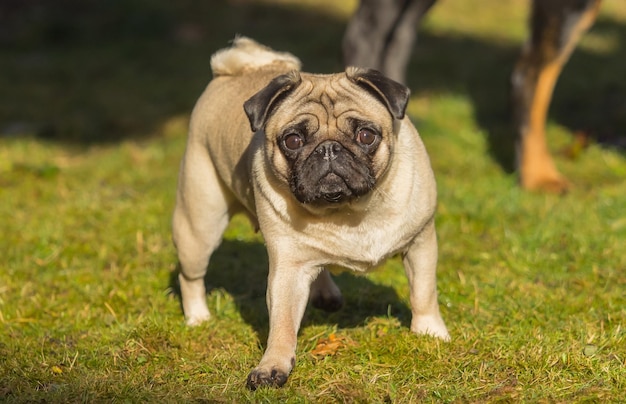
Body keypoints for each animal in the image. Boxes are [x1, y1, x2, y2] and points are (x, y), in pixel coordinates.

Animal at [172, 38, 448, 392]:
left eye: (366, 135)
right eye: (293, 140)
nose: (328, 148)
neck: (348, 210)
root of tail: (235, 69)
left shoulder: (420, 242)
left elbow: (423, 292)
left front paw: (430, 332)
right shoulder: (288, 269)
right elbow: (282, 324)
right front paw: (272, 366)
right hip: (200, 225)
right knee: (191, 275)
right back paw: (197, 317)